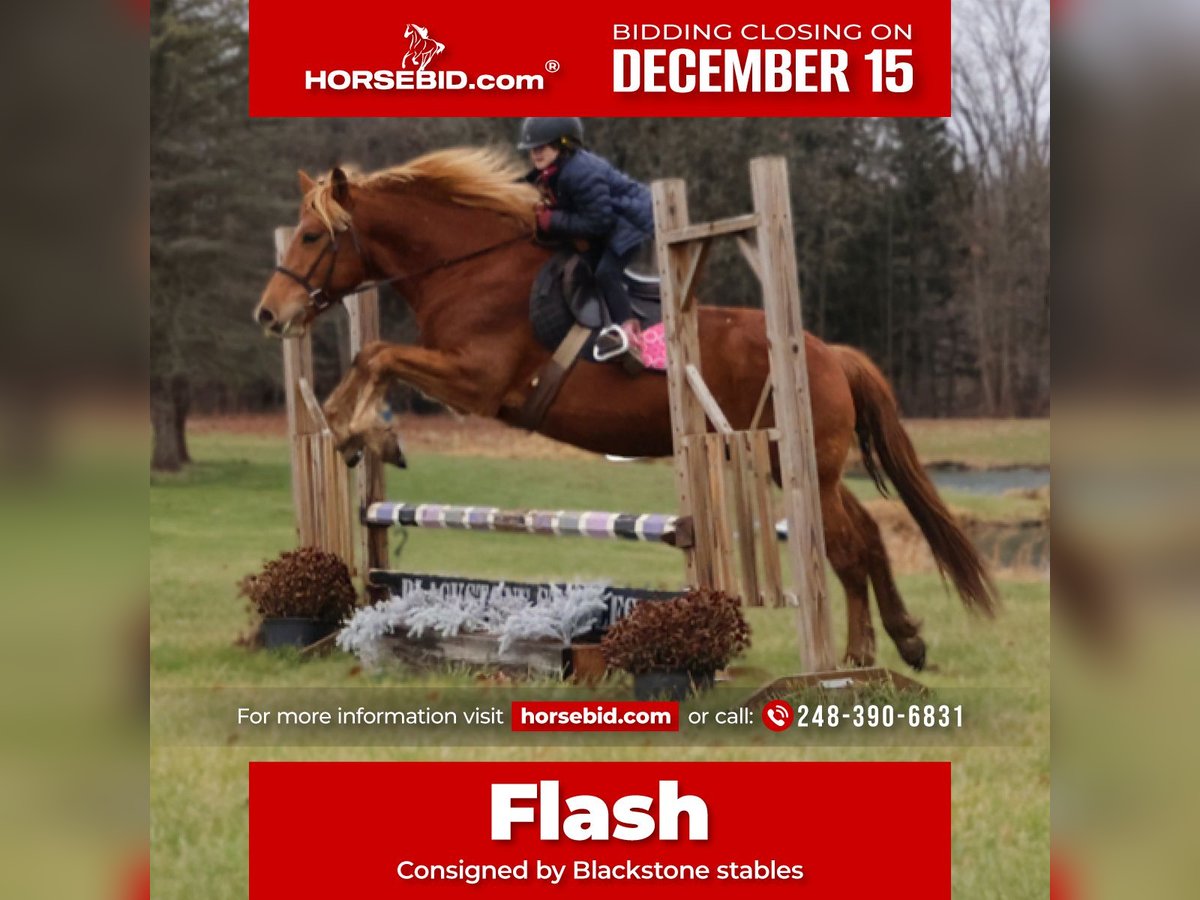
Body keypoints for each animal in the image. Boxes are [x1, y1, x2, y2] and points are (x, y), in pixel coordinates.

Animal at [254, 147, 996, 669]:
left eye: (316, 238)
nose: (269, 315)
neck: (466, 267)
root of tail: (825, 351)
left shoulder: (478, 381)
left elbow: (377, 355)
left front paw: (356, 432)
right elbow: (368, 358)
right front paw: (359, 432)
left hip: (796, 463)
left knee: (844, 548)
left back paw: (860, 657)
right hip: (811, 468)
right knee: (866, 536)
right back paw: (903, 642)